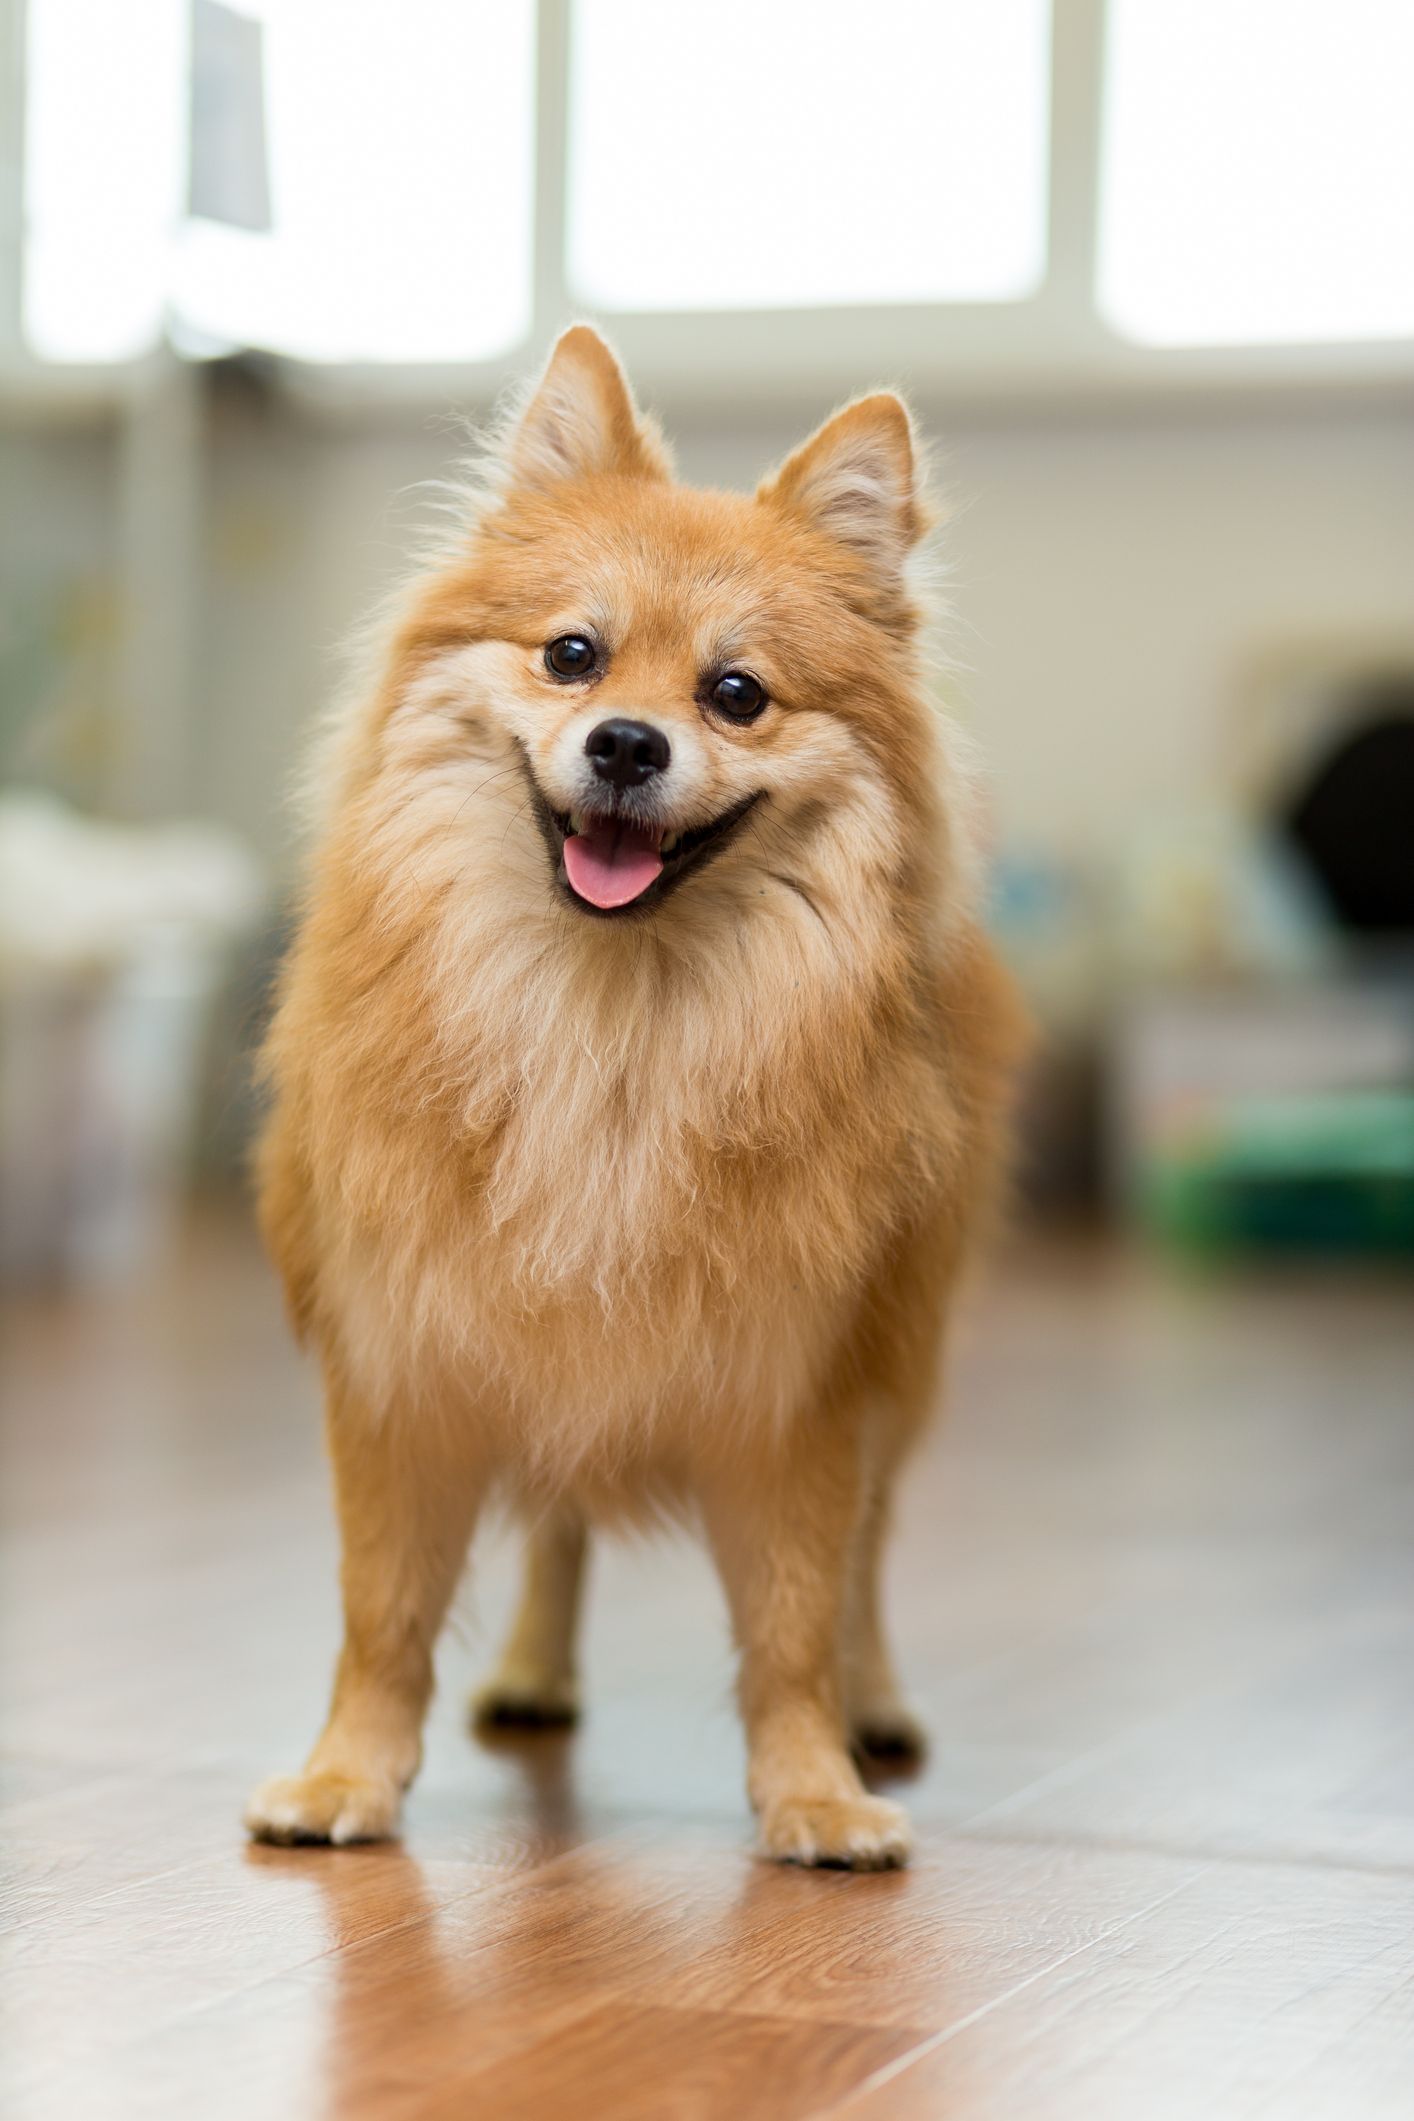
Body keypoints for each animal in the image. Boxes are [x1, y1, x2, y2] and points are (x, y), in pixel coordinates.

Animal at [240, 322, 1017, 1866]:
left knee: (869, 1559)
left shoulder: (804, 1384)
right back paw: (534, 1671)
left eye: (736, 694)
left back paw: (874, 1704)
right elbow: (383, 1608)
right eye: (572, 656)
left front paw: (813, 1788)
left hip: (903, 1360)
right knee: (556, 1522)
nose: (624, 743)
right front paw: (347, 1775)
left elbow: (795, 1615)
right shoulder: (410, 1354)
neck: (613, 1023)